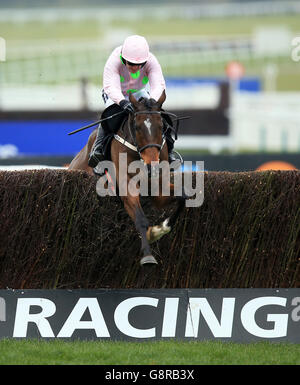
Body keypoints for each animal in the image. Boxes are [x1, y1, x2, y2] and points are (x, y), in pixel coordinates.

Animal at [69, 91, 186, 264]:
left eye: (161, 126)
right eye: (137, 127)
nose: (152, 167)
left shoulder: (159, 190)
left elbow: (182, 196)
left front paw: (159, 230)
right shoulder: (127, 189)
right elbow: (140, 219)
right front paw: (148, 254)